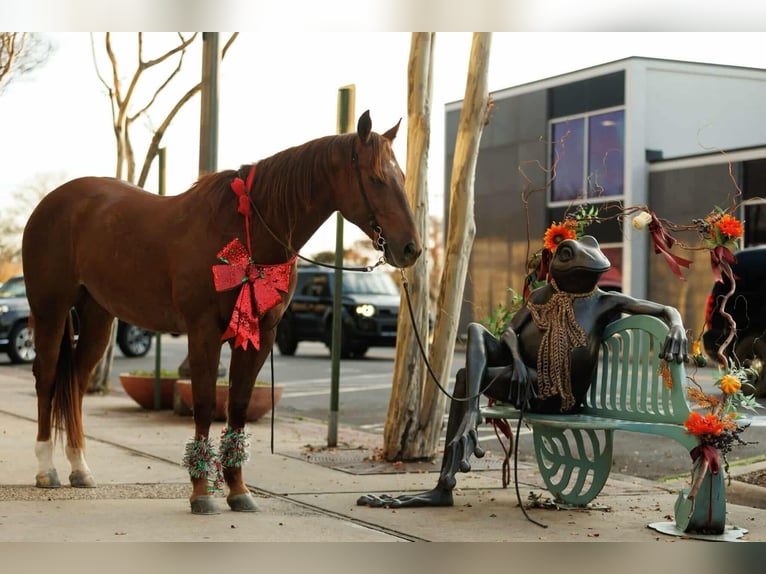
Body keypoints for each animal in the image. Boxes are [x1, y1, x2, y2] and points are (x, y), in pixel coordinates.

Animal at [21, 110, 421, 515]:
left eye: (402, 177)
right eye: (376, 179)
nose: (410, 248)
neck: (245, 229)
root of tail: (52, 202)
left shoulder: (261, 335)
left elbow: (238, 407)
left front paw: (238, 490)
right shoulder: (203, 332)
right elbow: (202, 404)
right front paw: (201, 492)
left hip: (98, 317)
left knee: (76, 383)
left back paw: (80, 468)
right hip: (51, 309)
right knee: (47, 378)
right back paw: (45, 469)